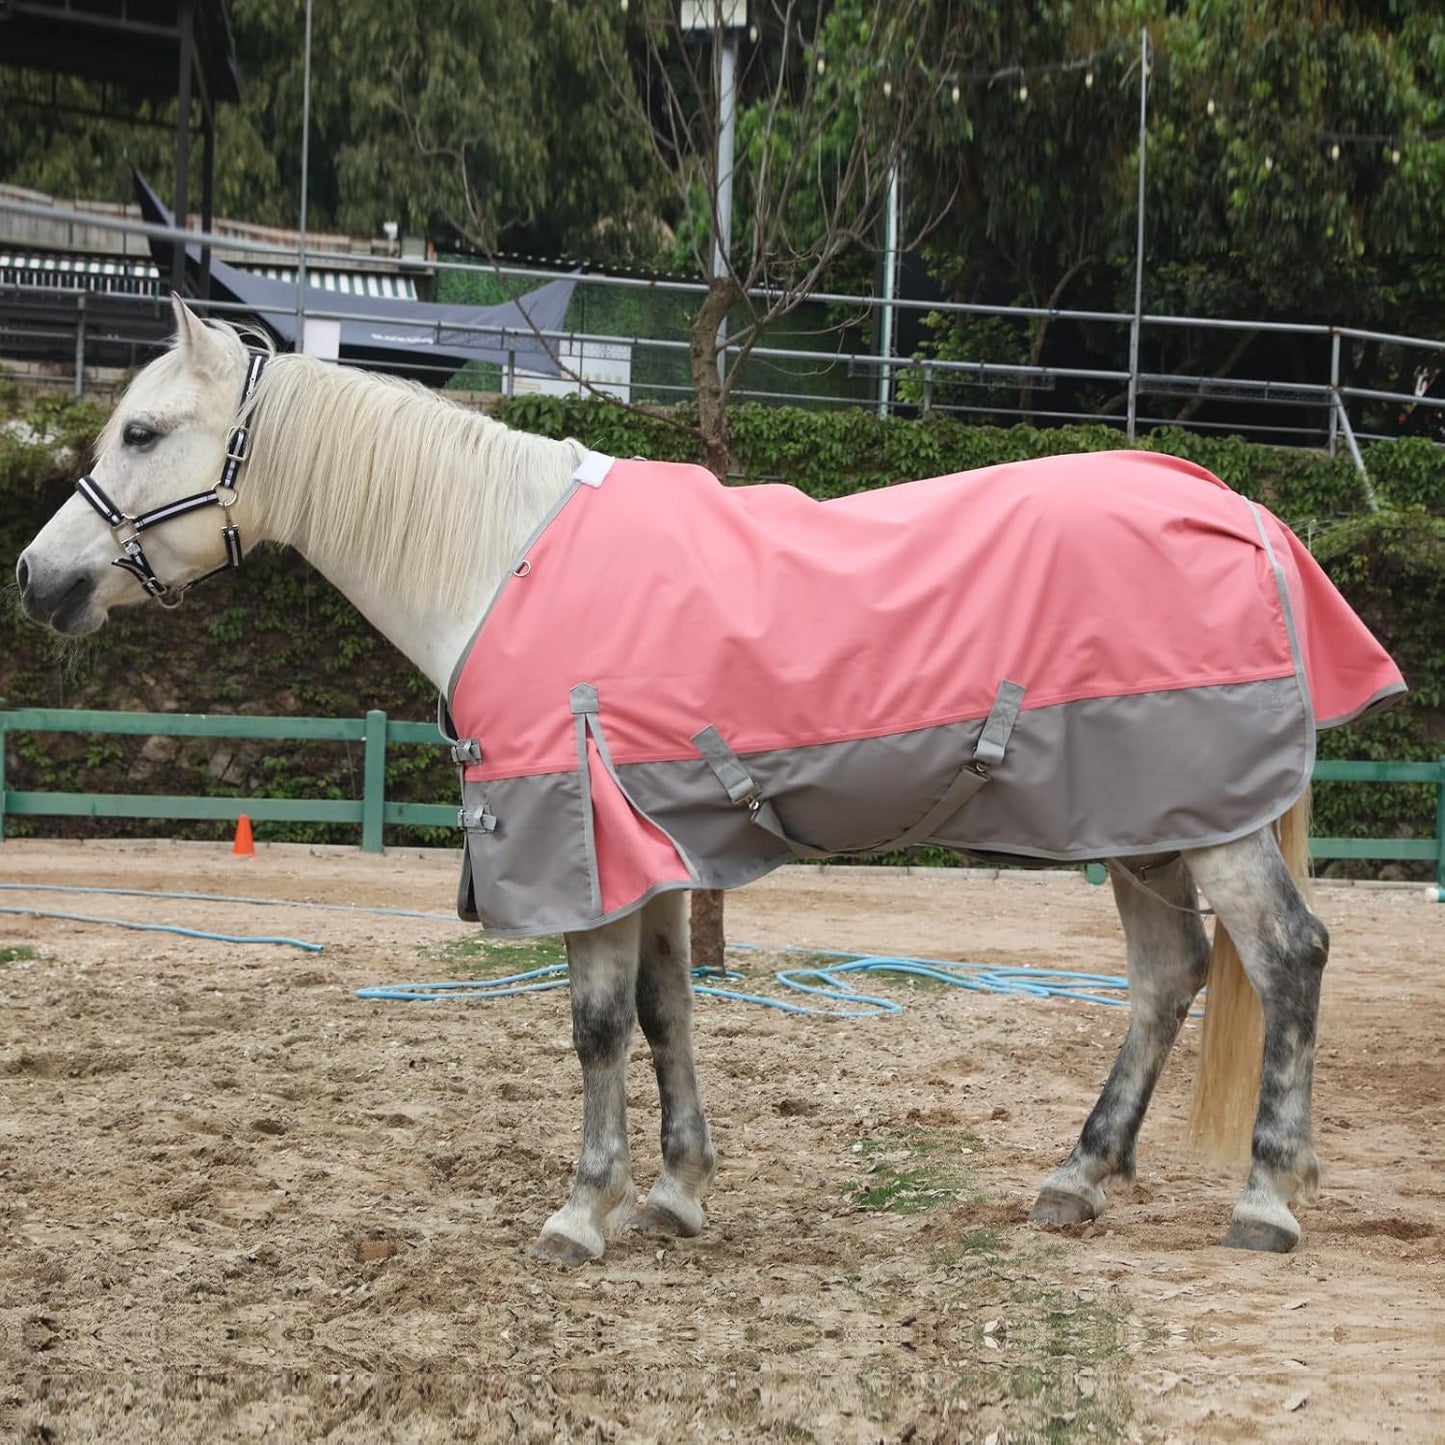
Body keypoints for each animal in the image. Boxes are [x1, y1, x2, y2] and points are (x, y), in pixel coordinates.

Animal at [15, 298, 1405, 1265]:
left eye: (142, 432)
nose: (38, 578)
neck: (500, 557)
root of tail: (1233, 506)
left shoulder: (575, 847)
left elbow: (590, 1026)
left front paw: (583, 1209)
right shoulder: (655, 852)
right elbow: (664, 1013)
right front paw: (677, 1194)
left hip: (1203, 820)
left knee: (1284, 955)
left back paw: (1265, 1194)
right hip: (1143, 822)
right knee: (1167, 976)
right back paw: (1076, 1176)